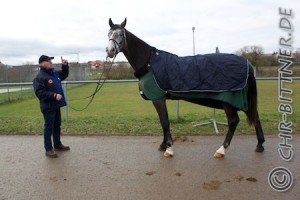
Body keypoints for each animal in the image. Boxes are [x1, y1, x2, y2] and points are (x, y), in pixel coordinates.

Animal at [106, 18, 264, 158]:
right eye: (108, 34)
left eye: (121, 34)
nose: (110, 50)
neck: (149, 63)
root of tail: (247, 63)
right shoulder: (160, 98)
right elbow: (163, 121)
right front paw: (163, 145)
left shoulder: (158, 98)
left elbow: (164, 121)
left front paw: (169, 148)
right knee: (255, 117)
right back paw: (260, 145)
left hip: (229, 102)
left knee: (233, 121)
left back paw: (221, 150)